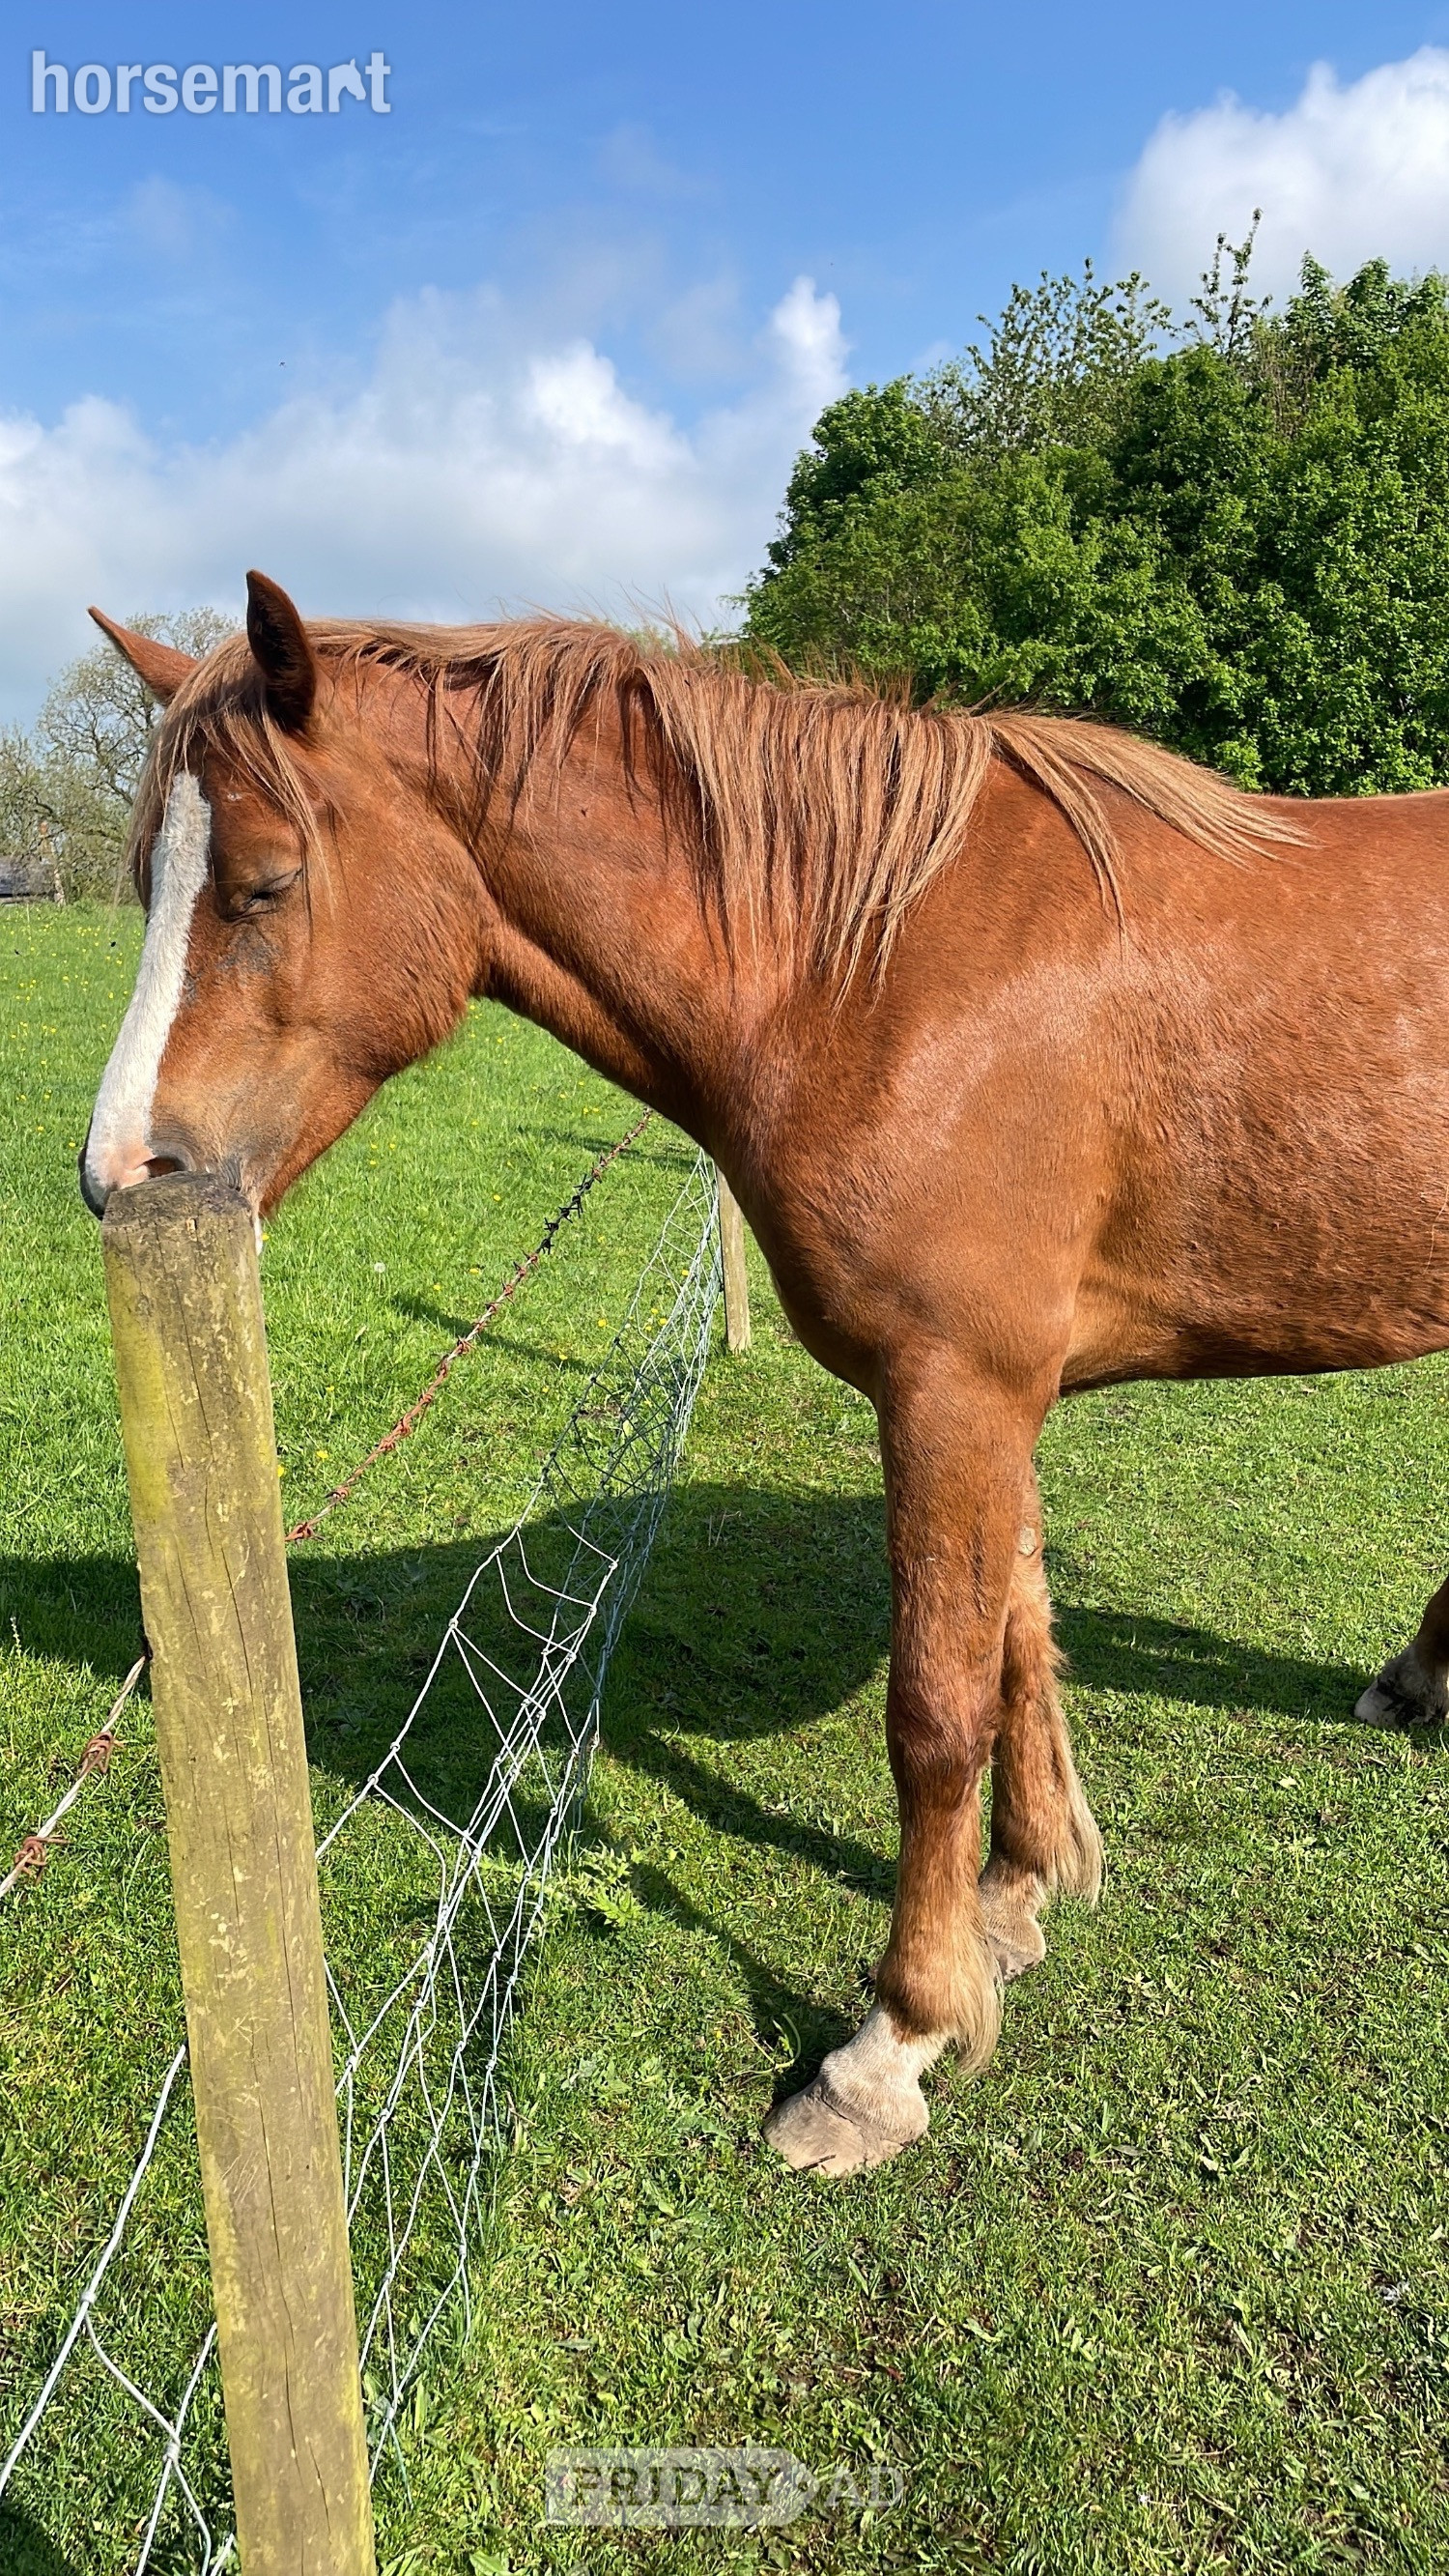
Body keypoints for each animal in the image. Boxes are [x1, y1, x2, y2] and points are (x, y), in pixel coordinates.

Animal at [79, 570, 1449, 2178]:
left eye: (265, 883)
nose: (119, 1176)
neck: (866, 970)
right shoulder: (993, 1397)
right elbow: (1021, 1635)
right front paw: (1018, 1893)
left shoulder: (954, 1390)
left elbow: (938, 1712)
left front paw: (893, 2040)